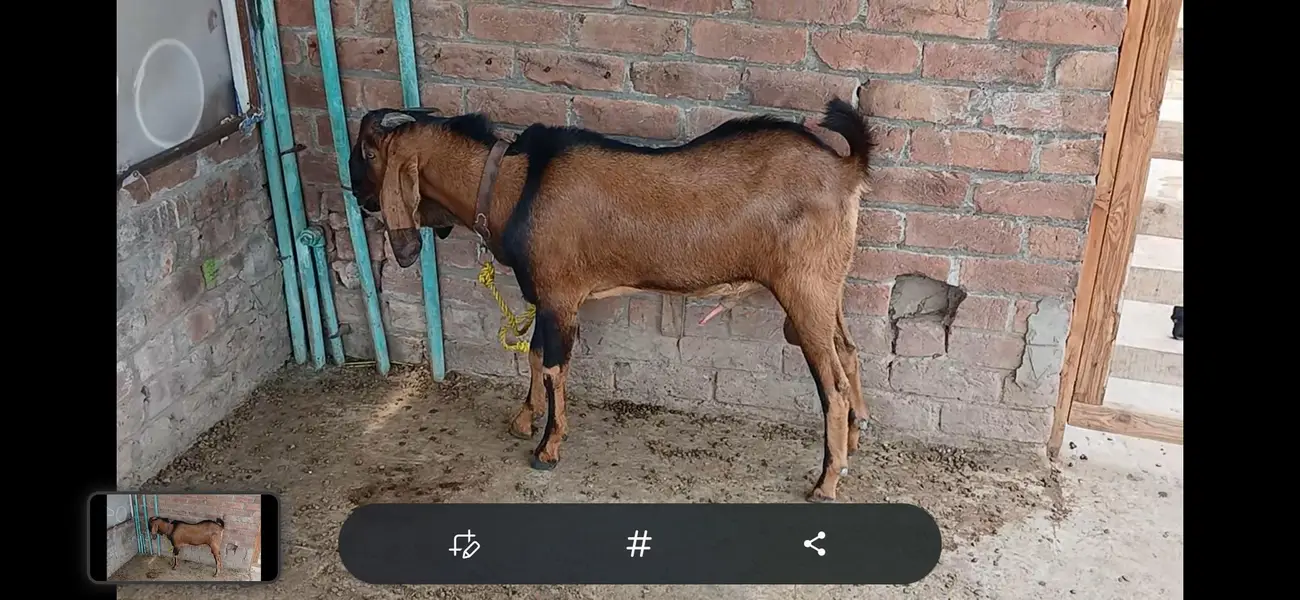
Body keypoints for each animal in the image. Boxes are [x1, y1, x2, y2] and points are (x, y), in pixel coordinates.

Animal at [349, 98, 874, 503]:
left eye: (369, 152)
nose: (356, 196)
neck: (512, 185)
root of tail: (846, 168)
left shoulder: (560, 294)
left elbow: (553, 366)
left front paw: (547, 449)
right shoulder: (548, 296)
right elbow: (534, 355)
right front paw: (523, 420)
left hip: (804, 288)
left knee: (832, 385)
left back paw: (826, 481)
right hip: (828, 287)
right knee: (849, 352)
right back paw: (854, 440)